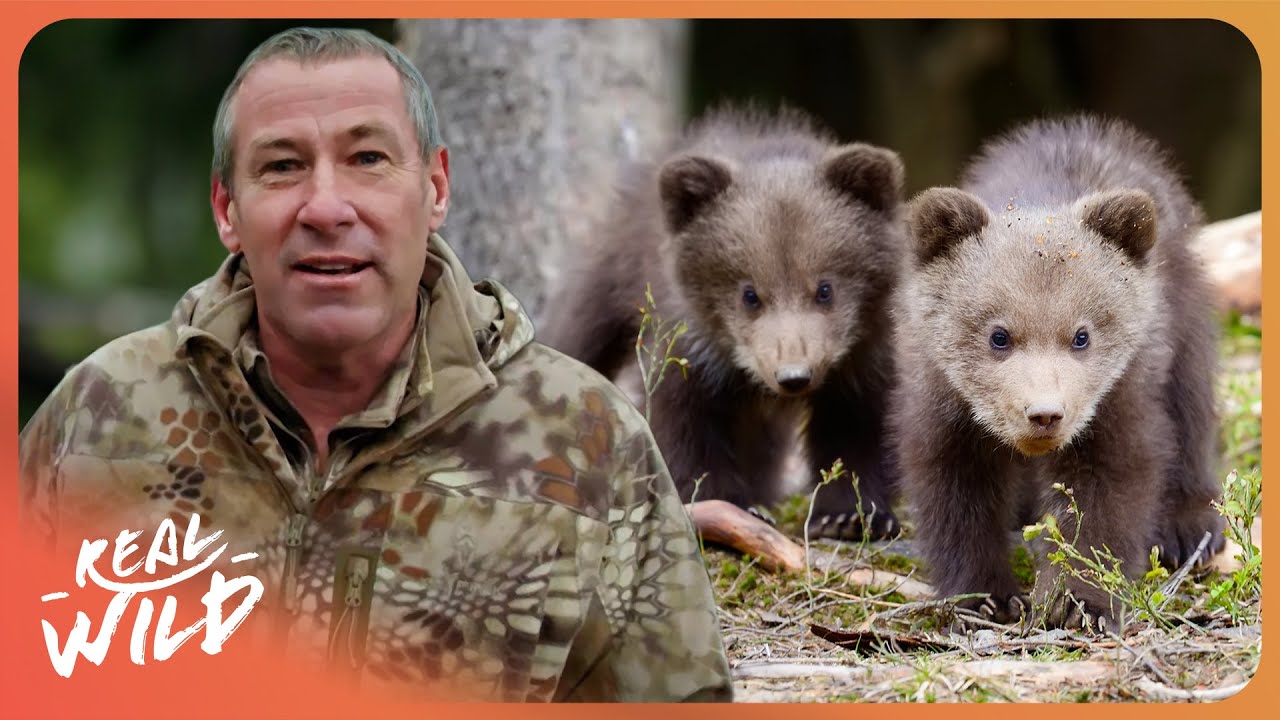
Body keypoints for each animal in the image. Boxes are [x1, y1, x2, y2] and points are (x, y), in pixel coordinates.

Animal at [540, 106, 907, 540]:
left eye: (825, 288)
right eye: (749, 294)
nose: (794, 375)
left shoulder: (861, 358)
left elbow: (858, 430)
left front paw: (850, 516)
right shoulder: (693, 349)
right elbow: (685, 426)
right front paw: (726, 504)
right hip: (607, 275)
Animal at [889, 114, 1225, 631]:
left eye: (1081, 335)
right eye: (999, 334)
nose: (1044, 414)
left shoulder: (1115, 396)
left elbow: (1107, 489)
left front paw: (1079, 599)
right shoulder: (946, 401)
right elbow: (955, 495)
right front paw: (986, 597)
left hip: (1180, 312)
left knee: (1190, 403)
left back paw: (1190, 527)